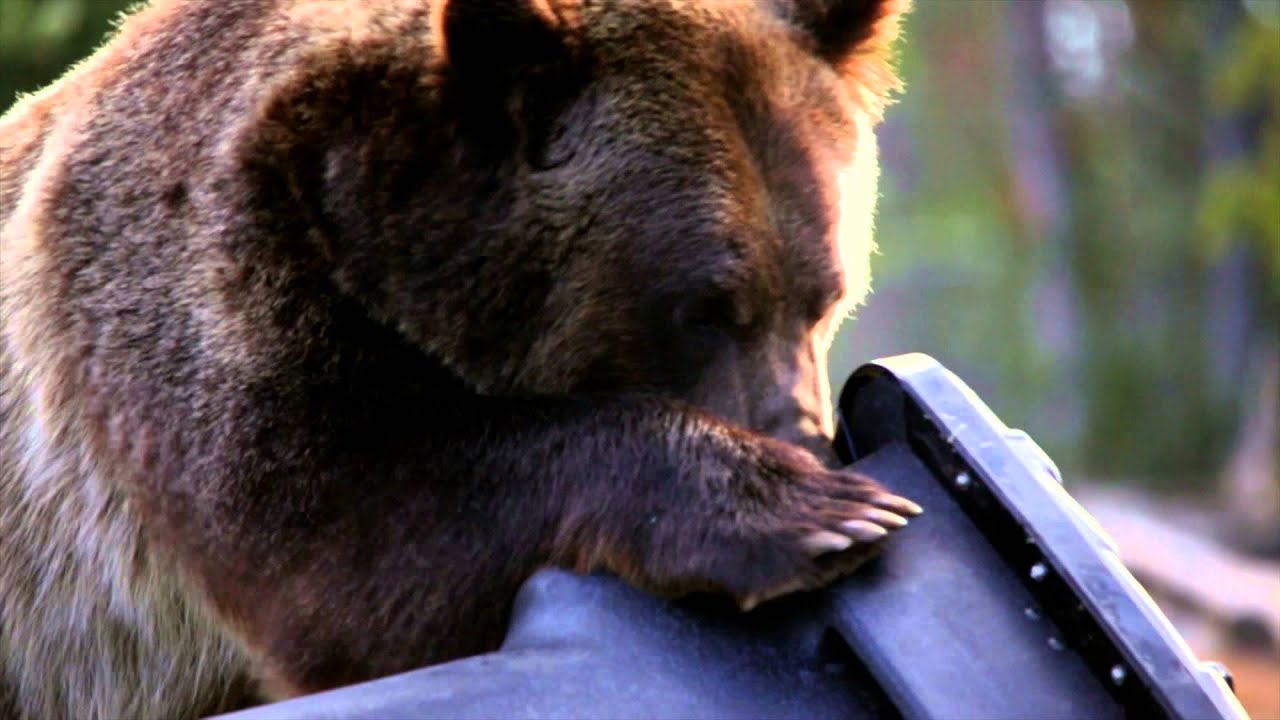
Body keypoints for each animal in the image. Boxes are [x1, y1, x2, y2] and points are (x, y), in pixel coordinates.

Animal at [0, 0, 915, 717]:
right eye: (703, 309)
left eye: (826, 296)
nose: (803, 439)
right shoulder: (195, 282)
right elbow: (339, 545)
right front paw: (817, 512)